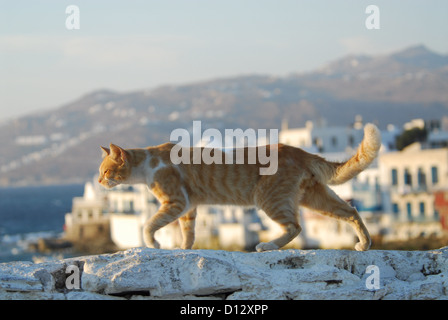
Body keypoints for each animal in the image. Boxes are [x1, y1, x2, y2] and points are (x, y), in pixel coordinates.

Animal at [99, 124, 382, 251]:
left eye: (104, 171)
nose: (100, 182)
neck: (147, 164)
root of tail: (300, 151)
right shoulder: (188, 207)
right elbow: (188, 233)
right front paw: (184, 250)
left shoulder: (175, 202)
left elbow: (149, 225)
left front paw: (153, 243)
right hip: (315, 197)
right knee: (351, 211)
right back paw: (364, 243)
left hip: (269, 199)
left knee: (295, 226)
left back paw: (268, 246)